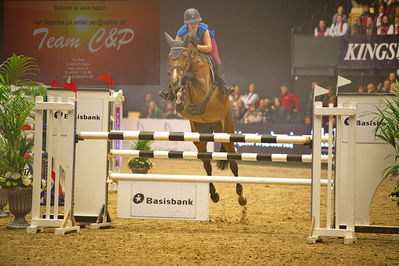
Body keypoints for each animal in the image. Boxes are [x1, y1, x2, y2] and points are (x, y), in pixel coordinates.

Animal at [163, 31, 245, 206]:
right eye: (169, 56)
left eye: (184, 56)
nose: (174, 80)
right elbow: (182, 92)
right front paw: (178, 96)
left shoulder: (202, 85)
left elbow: (191, 79)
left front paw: (184, 81)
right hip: (199, 137)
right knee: (207, 165)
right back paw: (214, 195)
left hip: (226, 132)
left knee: (233, 163)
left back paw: (241, 196)